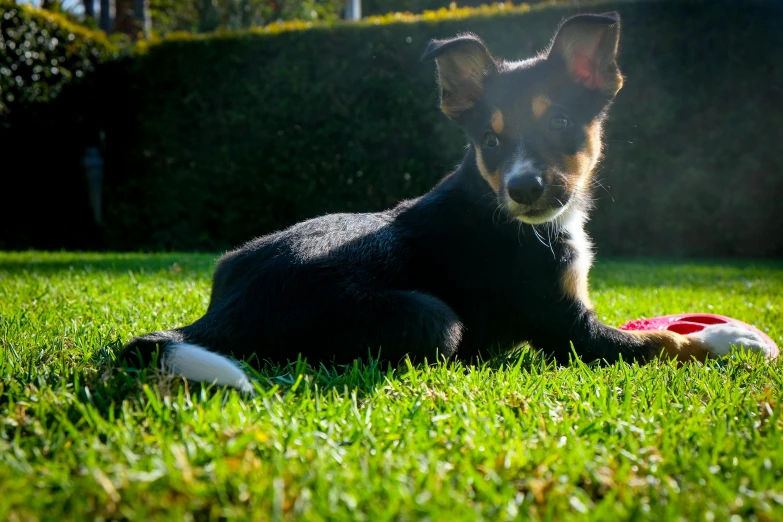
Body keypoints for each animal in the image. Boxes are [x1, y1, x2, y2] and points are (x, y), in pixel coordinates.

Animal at [119, 12, 776, 392]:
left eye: (562, 122)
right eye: (490, 140)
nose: (523, 188)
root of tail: (211, 321)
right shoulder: (572, 330)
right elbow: (666, 342)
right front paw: (734, 340)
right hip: (433, 318)